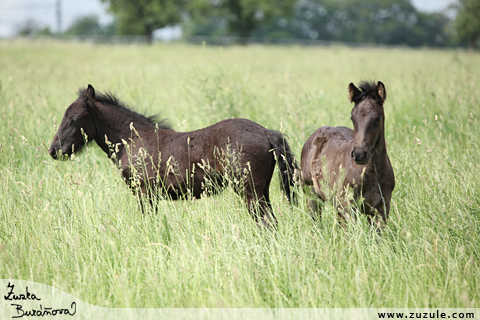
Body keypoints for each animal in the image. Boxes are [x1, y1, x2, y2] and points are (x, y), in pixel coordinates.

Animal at [48, 85, 296, 228]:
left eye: (74, 119)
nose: (53, 150)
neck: (134, 139)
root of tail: (266, 131)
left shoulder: (145, 192)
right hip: (262, 191)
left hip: (250, 191)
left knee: (266, 223)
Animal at [302, 81, 396, 234]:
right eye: (352, 118)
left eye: (377, 118)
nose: (359, 154)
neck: (372, 172)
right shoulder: (349, 208)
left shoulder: (381, 209)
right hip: (312, 195)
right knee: (315, 221)